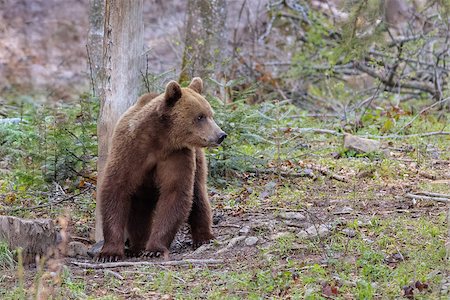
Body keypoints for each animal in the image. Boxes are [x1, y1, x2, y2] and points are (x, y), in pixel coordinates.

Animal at [97, 78, 227, 262]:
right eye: (200, 116)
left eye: (210, 114)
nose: (221, 135)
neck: (160, 139)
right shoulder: (130, 151)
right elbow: (116, 189)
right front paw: (109, 253)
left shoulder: (177, 156)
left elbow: (175, 193)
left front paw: (155, 249)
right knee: (140, 208)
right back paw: (137, 246)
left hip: (198, 160)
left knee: (198, 194)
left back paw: (203, 237)